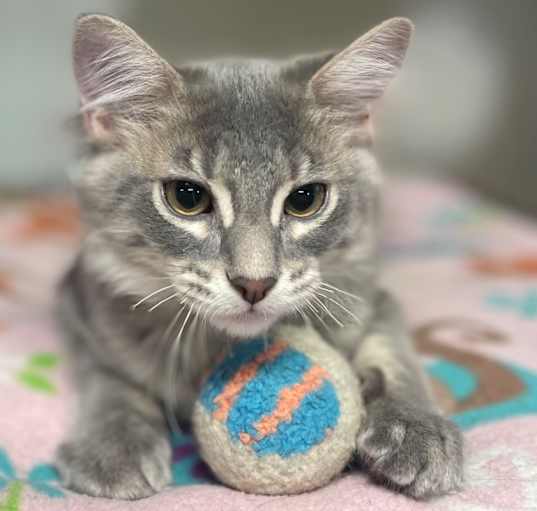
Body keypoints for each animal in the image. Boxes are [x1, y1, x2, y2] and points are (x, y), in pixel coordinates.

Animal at [56, 14, 462, 502]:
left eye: (306, 200)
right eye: (186, 197)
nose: (255, 283)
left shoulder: (371, 292)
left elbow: (394, 346)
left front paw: (417, 427)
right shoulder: (78, 302)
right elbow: (106, 374)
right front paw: (113, 444)